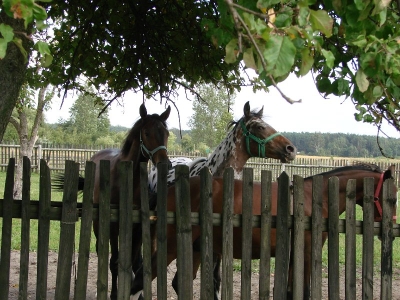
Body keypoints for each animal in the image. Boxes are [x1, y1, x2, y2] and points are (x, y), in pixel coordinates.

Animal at [130, 164, 396, 300]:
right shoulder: (306, 253)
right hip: (171, 246)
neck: (313, 198)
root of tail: (168, 190)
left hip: (196, 248)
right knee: (139, 282)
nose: (391, 230)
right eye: (392, 198)